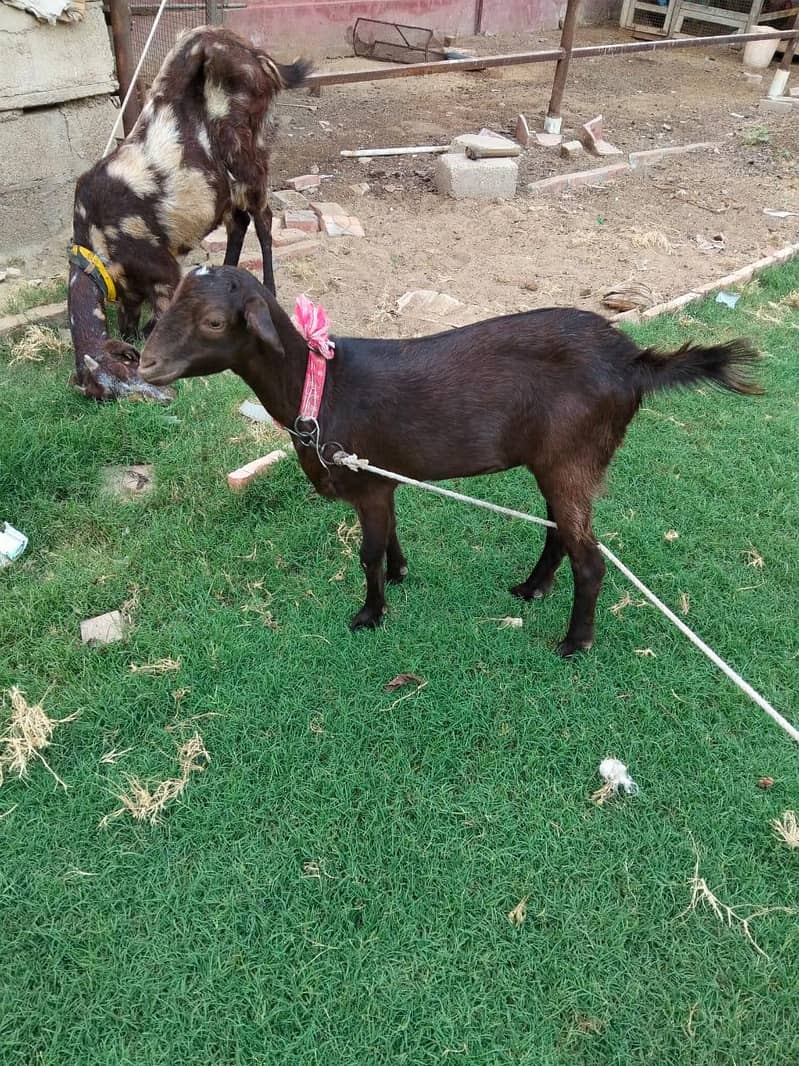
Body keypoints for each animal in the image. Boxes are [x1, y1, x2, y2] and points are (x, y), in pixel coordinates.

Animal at [68, 25, 311, 401]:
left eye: (123, 372)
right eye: (110, 392)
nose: (163, 396)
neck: (96, 241)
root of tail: (259, 56)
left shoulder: (161, 268)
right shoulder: (130, 290)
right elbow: (127, 324)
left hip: (249, 157)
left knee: (263, 219)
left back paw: (269, 287)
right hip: (224, 185)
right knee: (238, 222)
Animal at [139, 266, 761, 655]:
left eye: (214, 321)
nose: (145, 365)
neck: (319, 387)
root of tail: (634, 363)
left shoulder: (366, 483)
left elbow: (365, 553)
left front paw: (370, 614)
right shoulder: (380, 479)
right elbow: (389, 536)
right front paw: (399, 574)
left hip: (574, 458)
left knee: (591, 557)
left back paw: (574, 642)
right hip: (556, 463)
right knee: (560, 530)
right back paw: (531, 589)